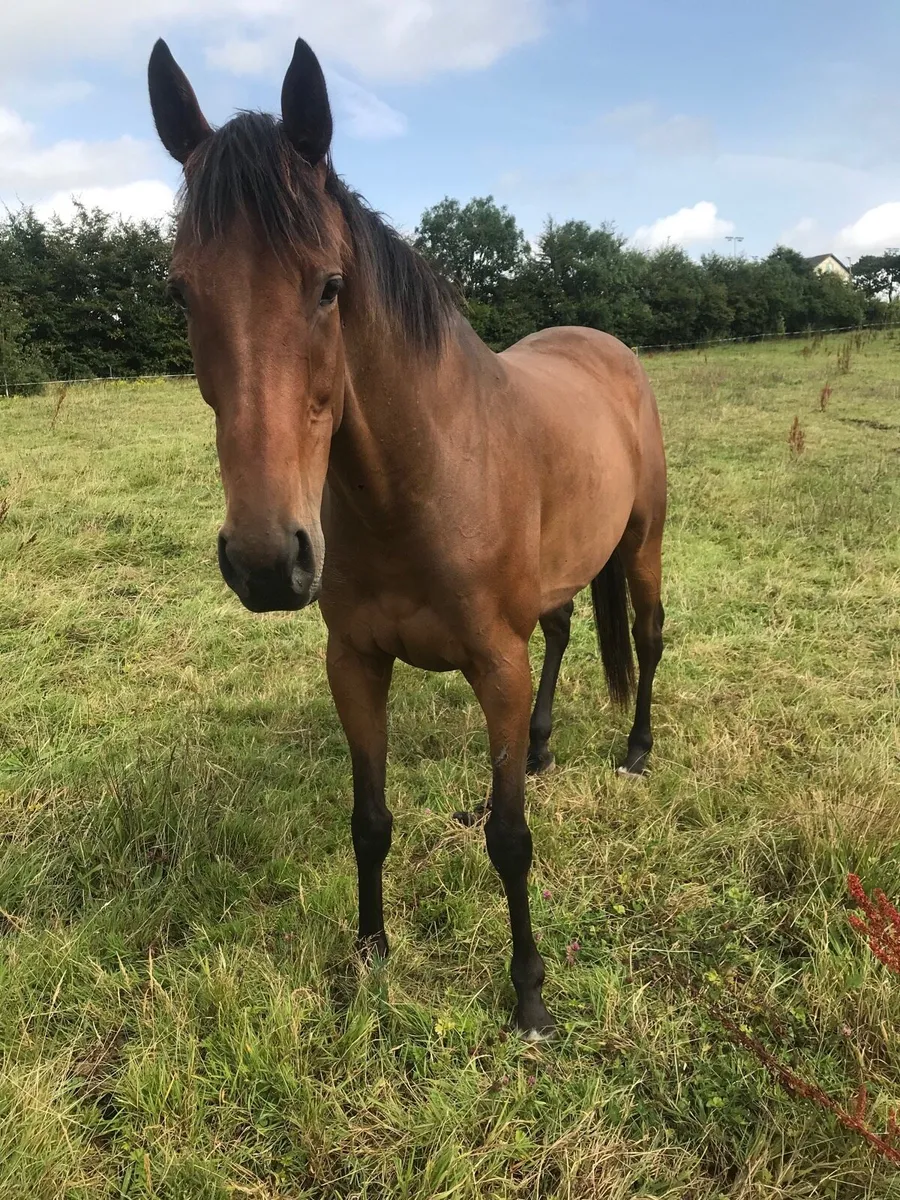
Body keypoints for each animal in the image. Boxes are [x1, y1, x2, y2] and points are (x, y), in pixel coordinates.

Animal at [147, 37, 666, 1038]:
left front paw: (530, 993)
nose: (267, 561)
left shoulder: (493, 666)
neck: (420, 482)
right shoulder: (355, 662)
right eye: (181, 292)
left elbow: (509, 839)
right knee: (562, 633)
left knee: (650, 637)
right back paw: (544, 750)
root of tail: (607, 347)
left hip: (644, 545)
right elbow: (370, 819)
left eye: (329, 287)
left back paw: (634, 752)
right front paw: (368, 955)